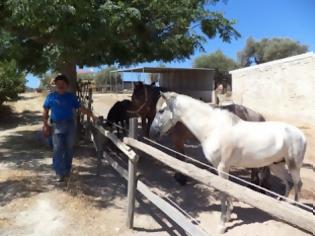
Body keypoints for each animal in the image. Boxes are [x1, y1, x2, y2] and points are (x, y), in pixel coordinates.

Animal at [131, 82, 272, 189]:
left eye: (160, 111)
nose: (152, 132)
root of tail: (259, 116)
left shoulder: (178, 141)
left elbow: (180, 158)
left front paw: (181, 178)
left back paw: (254, 186)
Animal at [149, 91, 308, 232]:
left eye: (161, 110)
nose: (152, 132)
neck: (213, 128)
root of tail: (301, 135)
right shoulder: (222, 167)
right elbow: (228, 189)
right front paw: (229, 215)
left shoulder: (222, 167)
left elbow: (223, 193)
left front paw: (222, 225)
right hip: (277, 166)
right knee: (288, 182)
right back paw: (284, 207)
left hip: (293, 165)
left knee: (298, 184)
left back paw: (294, 211)